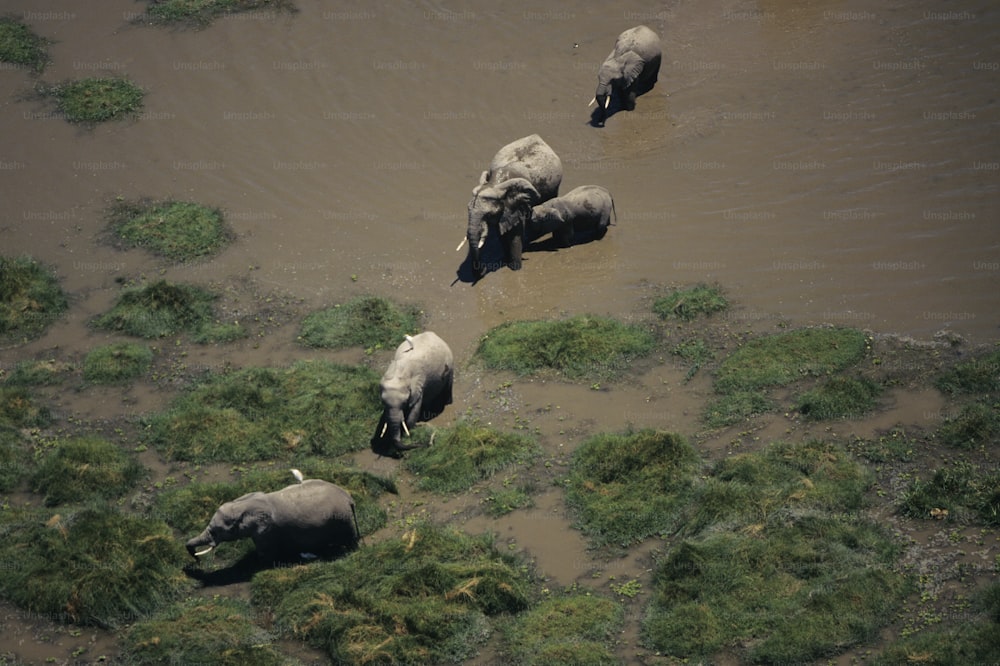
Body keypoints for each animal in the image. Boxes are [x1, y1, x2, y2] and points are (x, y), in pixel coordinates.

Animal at [186, 470, 362, 564]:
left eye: (216, 532)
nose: (197, 561)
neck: (244, 504)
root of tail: (348, 498)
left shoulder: (265, 530)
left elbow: (265, 555)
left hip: (342, 520)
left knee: (348, 540)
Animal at [460, 135, 564, 278]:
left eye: (488, 214)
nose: (483, 269)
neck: (494, 184)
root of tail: (537, 136)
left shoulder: (518, 205)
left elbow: (515, 236)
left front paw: (515, 269)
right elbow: (501, 234)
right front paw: (506, 260)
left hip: (554, 186)